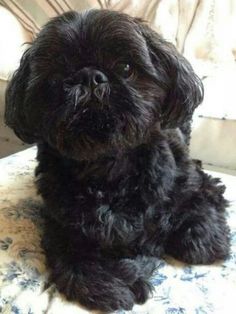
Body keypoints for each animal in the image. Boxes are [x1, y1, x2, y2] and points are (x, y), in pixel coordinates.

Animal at [5, 9, 230, 312]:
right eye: (57, 74)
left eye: (125, 68)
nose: (89, 76)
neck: (107, 166)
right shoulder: (61, 220)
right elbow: (74, 252)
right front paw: (109, 281)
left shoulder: (193, 179)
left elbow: (202, 201)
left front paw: (204, 237)